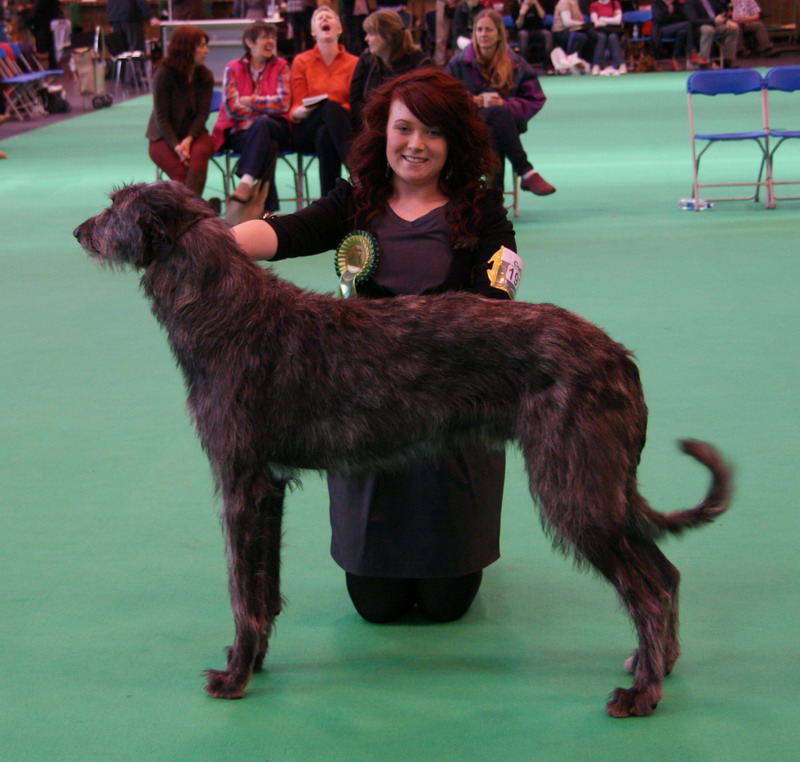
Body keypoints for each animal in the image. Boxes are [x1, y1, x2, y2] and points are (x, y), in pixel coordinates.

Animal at [75, 181, 732, 716]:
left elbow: (242, 590)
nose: (79, 231)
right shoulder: (267, 486)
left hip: (575, 485)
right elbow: (263, 586)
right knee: (665, 572)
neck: (224, 310)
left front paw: (235, 676)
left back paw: (643, 692)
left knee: (649, 587)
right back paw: (656, 662)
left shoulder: (240, 481)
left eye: (114, 206)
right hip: (600, 482)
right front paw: (254, 659)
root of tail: (619, 356)